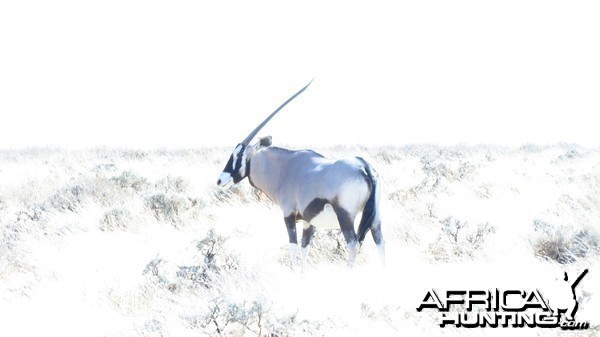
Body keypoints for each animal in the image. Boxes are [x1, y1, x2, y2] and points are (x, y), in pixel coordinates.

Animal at [217, 82, 384, 270]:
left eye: (238, 155)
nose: (220, 180)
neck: (285, 169)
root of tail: (365, 168)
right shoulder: (308, 221)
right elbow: (305, 249)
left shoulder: (289, 215)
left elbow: (293, 247)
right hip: (375, 218)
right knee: (380, 243)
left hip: (345, 216)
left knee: (353, 244)